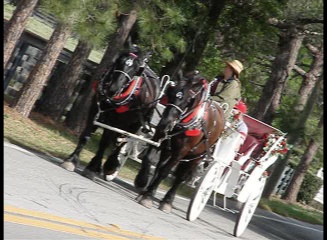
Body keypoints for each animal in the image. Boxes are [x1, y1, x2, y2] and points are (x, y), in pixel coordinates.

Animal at [60, 46, 162, 180]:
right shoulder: (96, 109)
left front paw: (109, 166)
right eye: (118, 61)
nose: (113, 89)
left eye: (136, 69)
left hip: (135, 123)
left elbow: (117, 141)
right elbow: (89, 136)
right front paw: (73, 160)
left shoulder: (122, 121)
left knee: (122, 141)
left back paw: (112, 164)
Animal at [135, 71, 227, 212]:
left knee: (180, 177)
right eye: (170, 94)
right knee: (160, 166)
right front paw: (142, 182)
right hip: (168, 149)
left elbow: (165, 171)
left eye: (188, 100)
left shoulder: (181, 151)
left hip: (197, 156)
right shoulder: (159, 138)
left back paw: (167, 201)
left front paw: (149, 197)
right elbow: (148, 159)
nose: (165, 123)